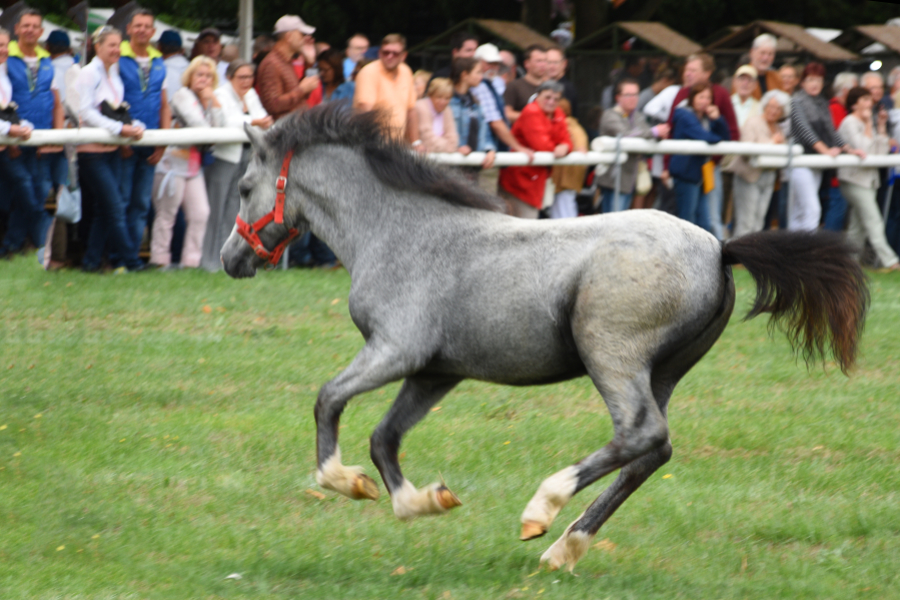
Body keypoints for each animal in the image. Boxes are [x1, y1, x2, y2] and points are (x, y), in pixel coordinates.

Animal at [221, 106, 868, 572]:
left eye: (246, 185)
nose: (231, 260)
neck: (399, 231)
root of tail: (719, 246)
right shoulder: (435, 371)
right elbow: (385, 437)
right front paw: (425, 501)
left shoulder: (394, 350)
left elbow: (328, 399)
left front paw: (344, 482)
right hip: (663, 371)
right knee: (651, 451)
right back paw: (564, 549)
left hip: (610, 354)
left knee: (640, 434)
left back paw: (543, 509)